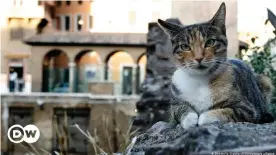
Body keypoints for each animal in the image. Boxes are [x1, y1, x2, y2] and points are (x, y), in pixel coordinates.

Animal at [157, 2, 274, 130]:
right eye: (185, 47)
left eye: (210, 42)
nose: (199, 58)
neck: (200, 81)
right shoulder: (175, 104)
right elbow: (180, 109)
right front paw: (190, 119)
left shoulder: (248, 109)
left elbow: (227, 112)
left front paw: (204, 117)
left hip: (265, 82)